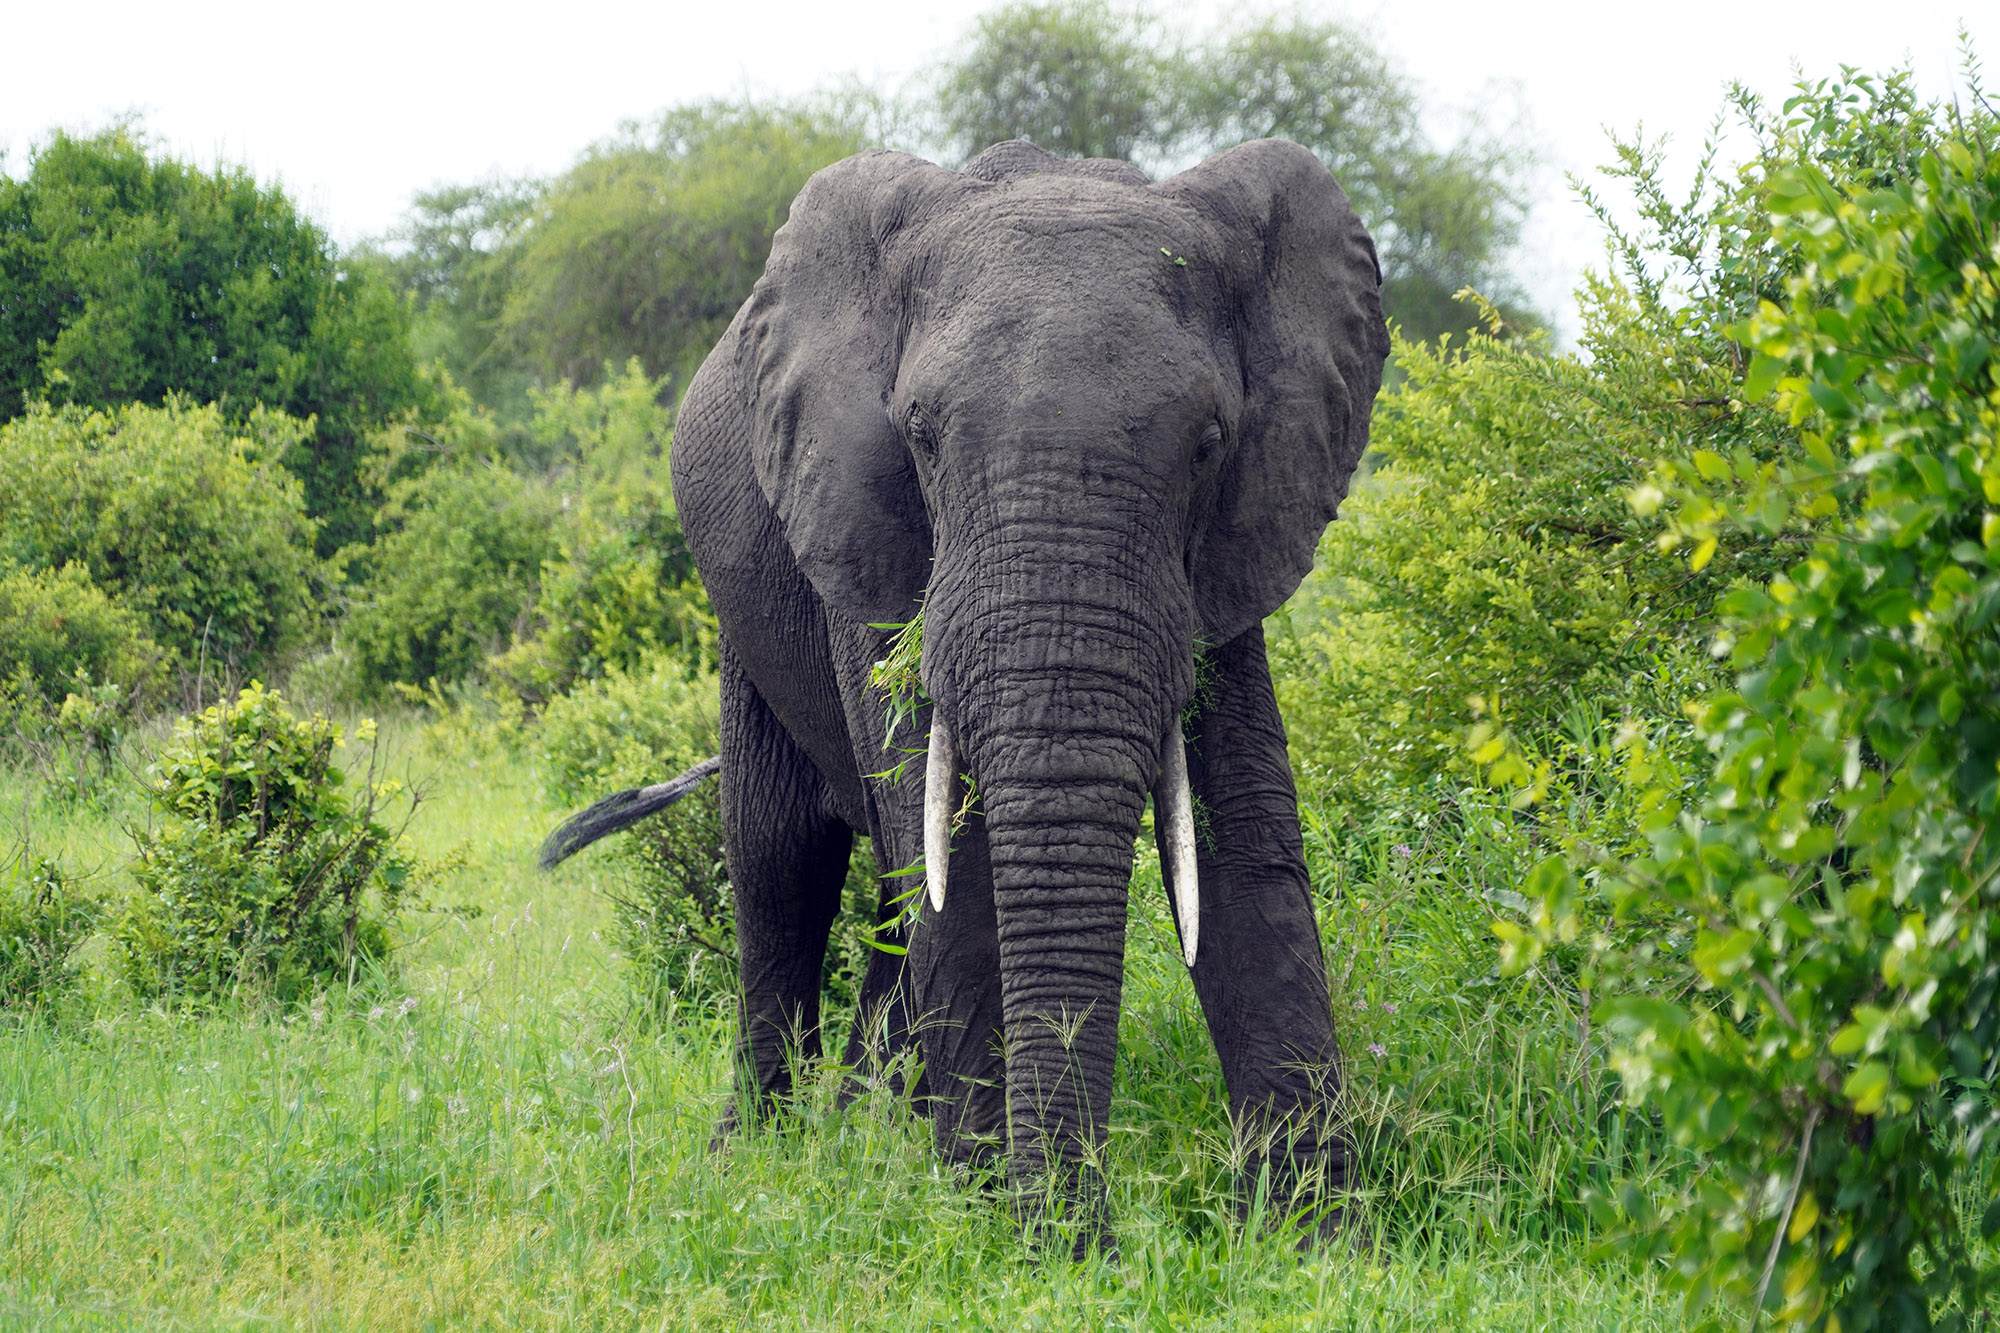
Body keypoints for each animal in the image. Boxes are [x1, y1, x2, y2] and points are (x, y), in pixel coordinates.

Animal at [550, 136, 1389, 1252]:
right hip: (745, 604)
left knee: (889, 890)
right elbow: (943, 837)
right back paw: (767, 1157)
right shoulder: (866, 519)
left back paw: (869, 1132)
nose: (1085, 1236)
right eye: (920, 434)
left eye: (1211, 441)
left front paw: (1316, 1241)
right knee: (782, 856)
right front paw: (994, 1222)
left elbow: (1245, 841)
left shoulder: (1231, 545)